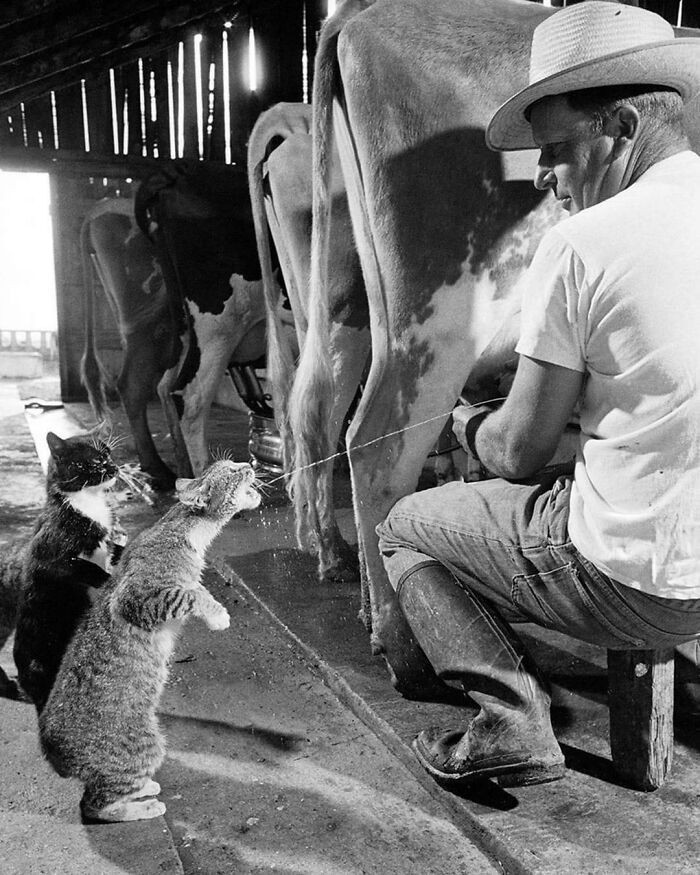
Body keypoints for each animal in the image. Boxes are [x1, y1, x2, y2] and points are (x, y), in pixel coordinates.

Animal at [39, 462, 262, 824]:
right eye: (231, 471)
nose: (249, 463)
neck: (185, 531)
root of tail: (51, 751)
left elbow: (197, 588)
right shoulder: (137, 598)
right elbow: (189, 593)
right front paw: (218, 616)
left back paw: (143, 789)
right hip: (145, 744)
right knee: (94, 805)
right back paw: (143, 805)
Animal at [288, 0, 568, 700]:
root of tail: (359, 14)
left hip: (352, 311)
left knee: (321, 412)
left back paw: (347, 580)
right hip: (440, 321)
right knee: (374, 443)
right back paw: (405, 651)